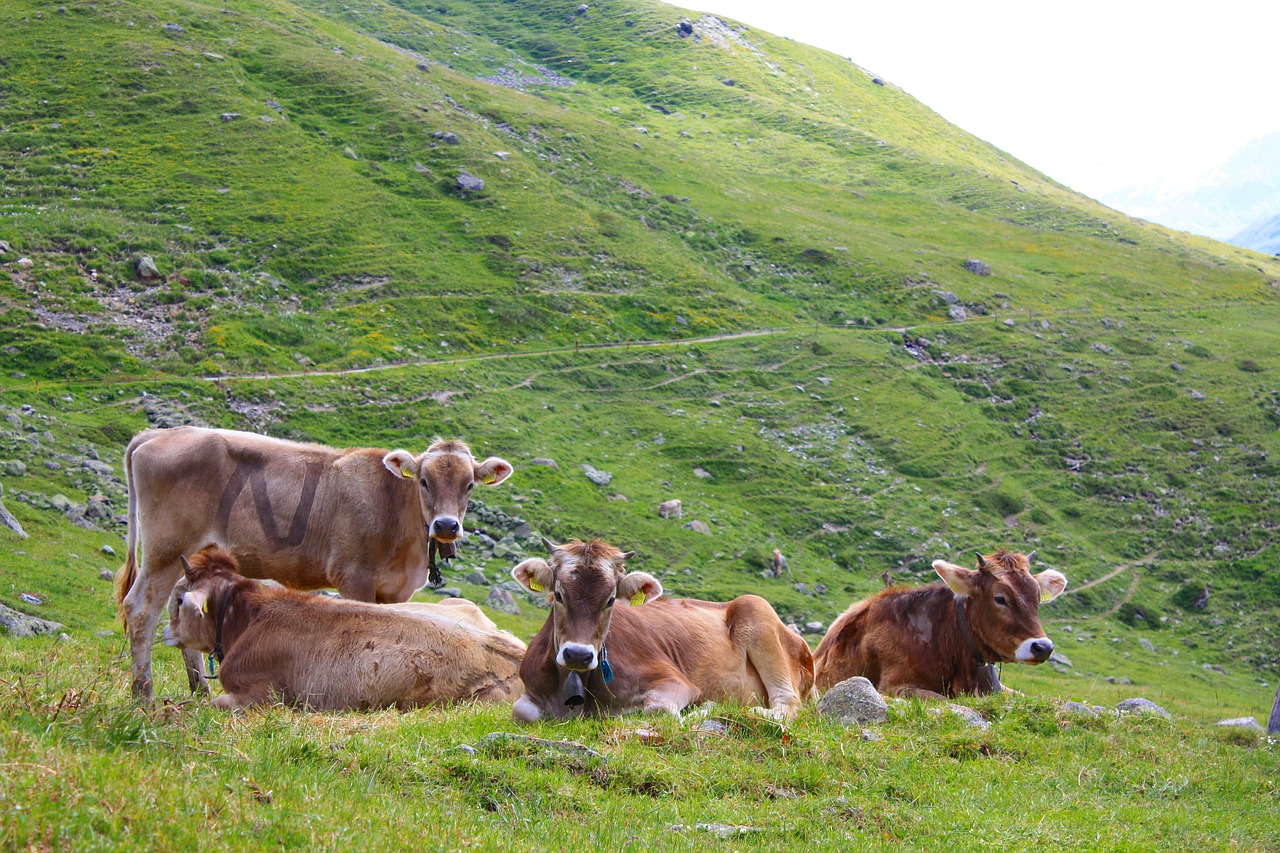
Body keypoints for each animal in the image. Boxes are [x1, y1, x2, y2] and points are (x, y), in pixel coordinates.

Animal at [111, 425, 509, 696]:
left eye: (469, 485)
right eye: (424, 481)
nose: (446, 525)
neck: (396, 509)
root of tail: (156, 434)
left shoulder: (397, 591)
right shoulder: (354, 576)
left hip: (189, 555)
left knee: (179, 604)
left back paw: (198, 691)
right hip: (164, 549)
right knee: (141, 609)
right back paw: (143, 696)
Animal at [506, 537, 808, 717]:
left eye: (611, 600)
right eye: (558, 595)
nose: (578, 655)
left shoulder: (675, 681)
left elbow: (659, 709)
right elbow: (521, 711)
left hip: (756, 608)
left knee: (787, 704)